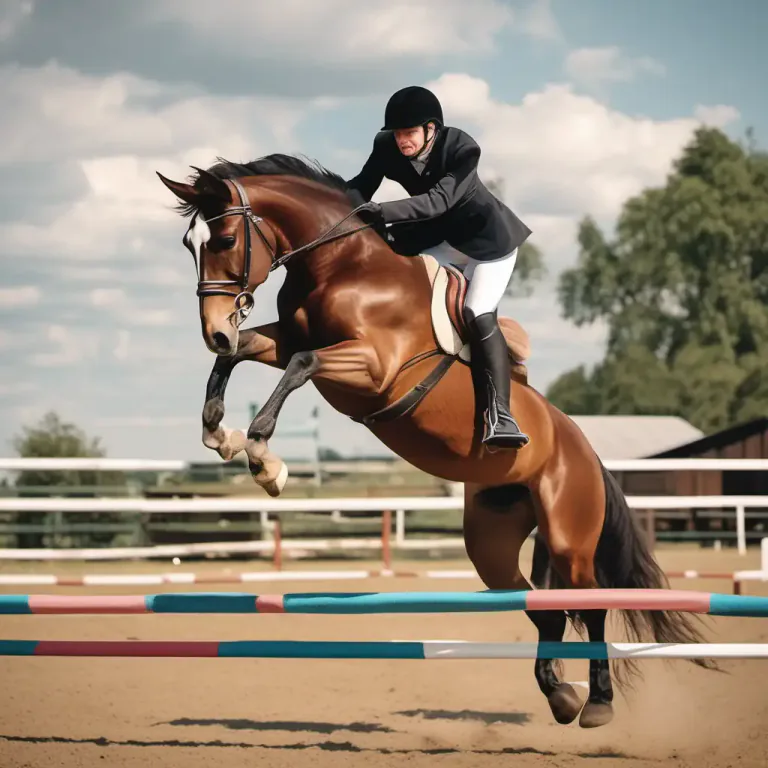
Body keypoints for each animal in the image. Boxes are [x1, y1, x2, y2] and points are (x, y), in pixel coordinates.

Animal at [156, 153, 714, 729]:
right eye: (189, 244)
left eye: (224, 239)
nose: (212, 330)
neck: (341, 266)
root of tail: (584, 448)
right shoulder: (289, 338)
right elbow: (240, 353)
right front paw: (220, 433)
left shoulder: (372, 366)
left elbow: (299, 365)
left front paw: (265, 459)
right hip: (491, 543)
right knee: (545, 610)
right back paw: (561, 695)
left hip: (570, 535)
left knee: (593, 603)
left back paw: (598, 703)